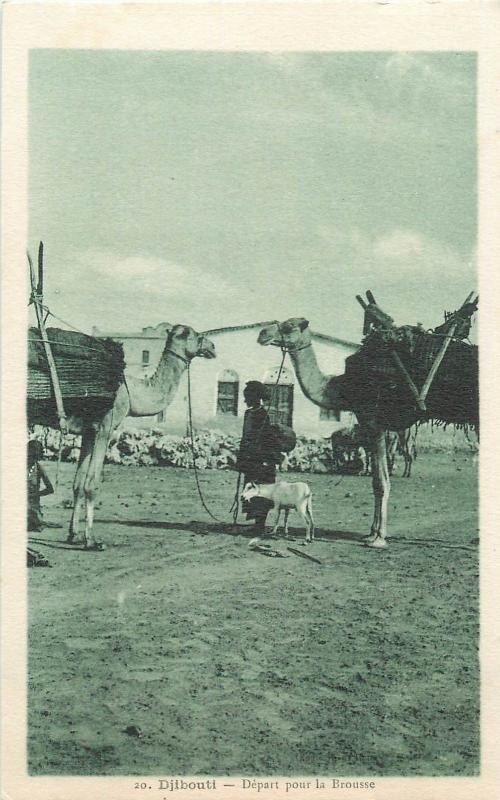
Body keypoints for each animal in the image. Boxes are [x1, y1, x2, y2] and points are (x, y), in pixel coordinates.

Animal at [29, 324, 213, 552]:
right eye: (189, 333)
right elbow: (91, 484)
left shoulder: (89, 431)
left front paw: (74, 536)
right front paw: (92, 540)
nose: (212, 346)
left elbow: (78, 484)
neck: (130, 391)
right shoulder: (105, 427)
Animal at [260, 296, 478, 552]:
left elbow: (382, 482)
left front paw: (379, 538)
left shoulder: (375, 423)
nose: (263, 333)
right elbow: (375, 481)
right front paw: (371, 533)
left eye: (289, 326)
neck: (343, 386)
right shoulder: (370, 426)